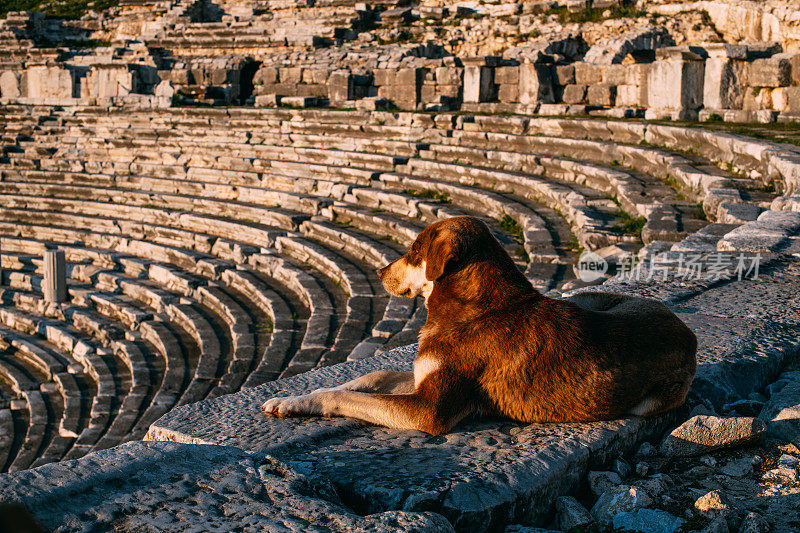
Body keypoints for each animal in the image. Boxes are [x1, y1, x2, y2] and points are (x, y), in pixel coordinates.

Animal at [260, 215, 692, 432]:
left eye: (414, 249)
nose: (379, 271)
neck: (480, 308)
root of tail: (685, 329)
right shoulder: (424, 376)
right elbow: (369, 377)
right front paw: (293, 397)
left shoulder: (428, 410)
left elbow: (352, 398)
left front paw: (308, 402)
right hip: (585, 298)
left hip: (649, 401)